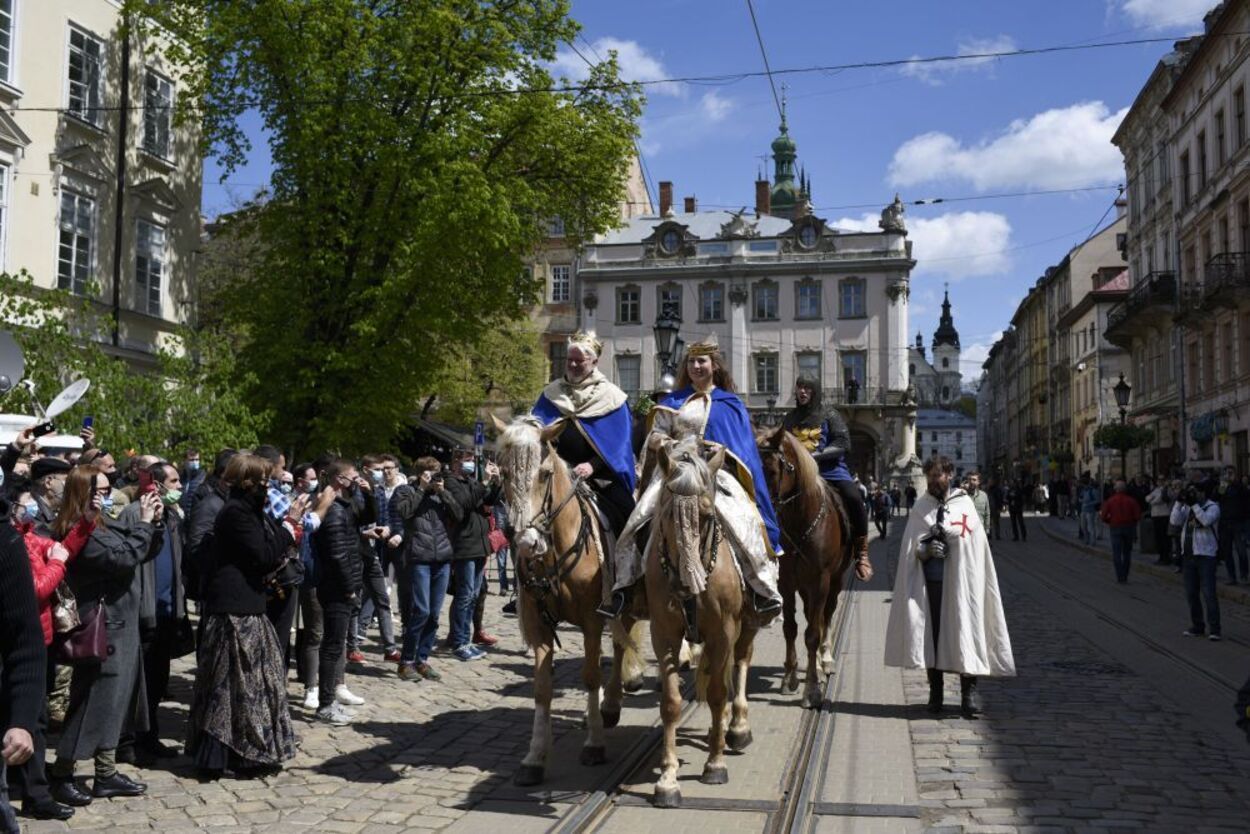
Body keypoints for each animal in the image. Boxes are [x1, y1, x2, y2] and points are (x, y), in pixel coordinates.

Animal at [490, 417, 645, 790]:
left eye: (545, 473)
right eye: (503, 471)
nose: (527, 542)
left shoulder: (591, 620)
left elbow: (590, 675)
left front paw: (594, 744)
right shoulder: (539, 624)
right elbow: (542, 689)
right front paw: (534, 757)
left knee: (620, 645)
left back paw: (614, 700)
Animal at [650, 437, 755, 810]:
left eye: (708, 514)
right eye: (667, 511)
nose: (685, 585)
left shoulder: (724, 630)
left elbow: (719, 692)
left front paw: (715, 763)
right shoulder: (664, 632)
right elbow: (671, 703)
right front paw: (667, 779)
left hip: (744, 626)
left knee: (738, 665)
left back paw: (736, 728)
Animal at [755, 427, 855, 710]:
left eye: (773, 470)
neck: (800, 524)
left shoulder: (820, 580)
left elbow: (813, 633)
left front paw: (811, 689)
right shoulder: (786, 583)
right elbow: (791, 627)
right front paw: (789, 676)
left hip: (835, 581)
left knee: (826, 616)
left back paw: (825, 661)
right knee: (814, 615)